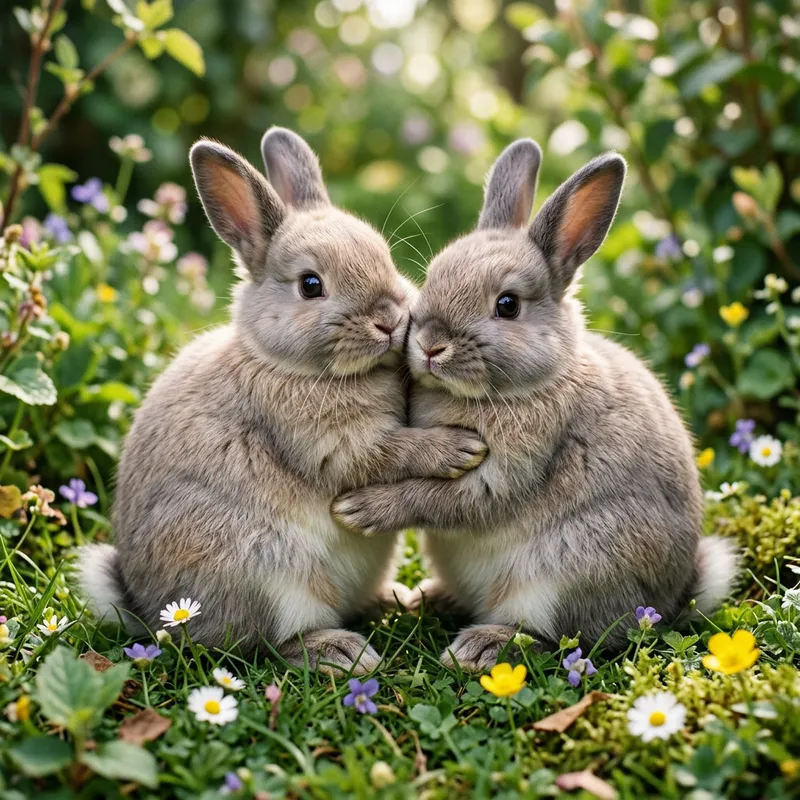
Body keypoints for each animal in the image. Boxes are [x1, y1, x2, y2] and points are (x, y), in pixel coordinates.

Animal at [77, 127, 487, 674]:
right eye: (311, 285)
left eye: (385, 256)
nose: (389, 320)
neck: (287, 364)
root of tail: (150, 611)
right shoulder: (331, 442)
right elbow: (386, 452)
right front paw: (458, 449)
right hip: (268, 576)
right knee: (263, 644)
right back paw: (341, 652)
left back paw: (395, 600)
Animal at [332, 139, 738, 670]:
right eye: (432, 275)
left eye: (507, 305)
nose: (429, 345)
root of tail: (668, 601)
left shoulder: (504, 473)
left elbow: (438, 500)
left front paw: (363, 510)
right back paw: (427, 598)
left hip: (564, 574)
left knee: (557, 638)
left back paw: (480, 646)